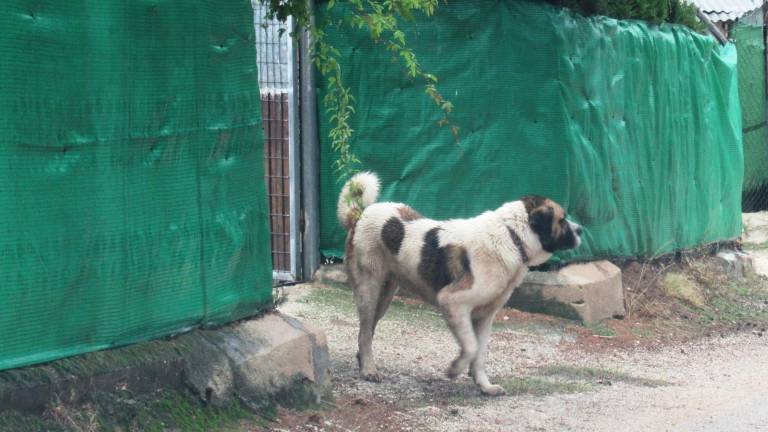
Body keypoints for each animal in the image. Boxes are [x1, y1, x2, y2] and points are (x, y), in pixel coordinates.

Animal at [336, 171, 584, 394]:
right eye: (562, 219)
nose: (581, 229)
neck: (512, 236)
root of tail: (360, 214)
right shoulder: (454, 303)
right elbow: (471, 347)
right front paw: (455, 369)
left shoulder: (485, 317)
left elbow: (480, 353)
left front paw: (484, 385)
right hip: (369, 291)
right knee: (364, 332)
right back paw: (369, 370)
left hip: (385, 296)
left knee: (367, 332)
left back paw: (364, 362)